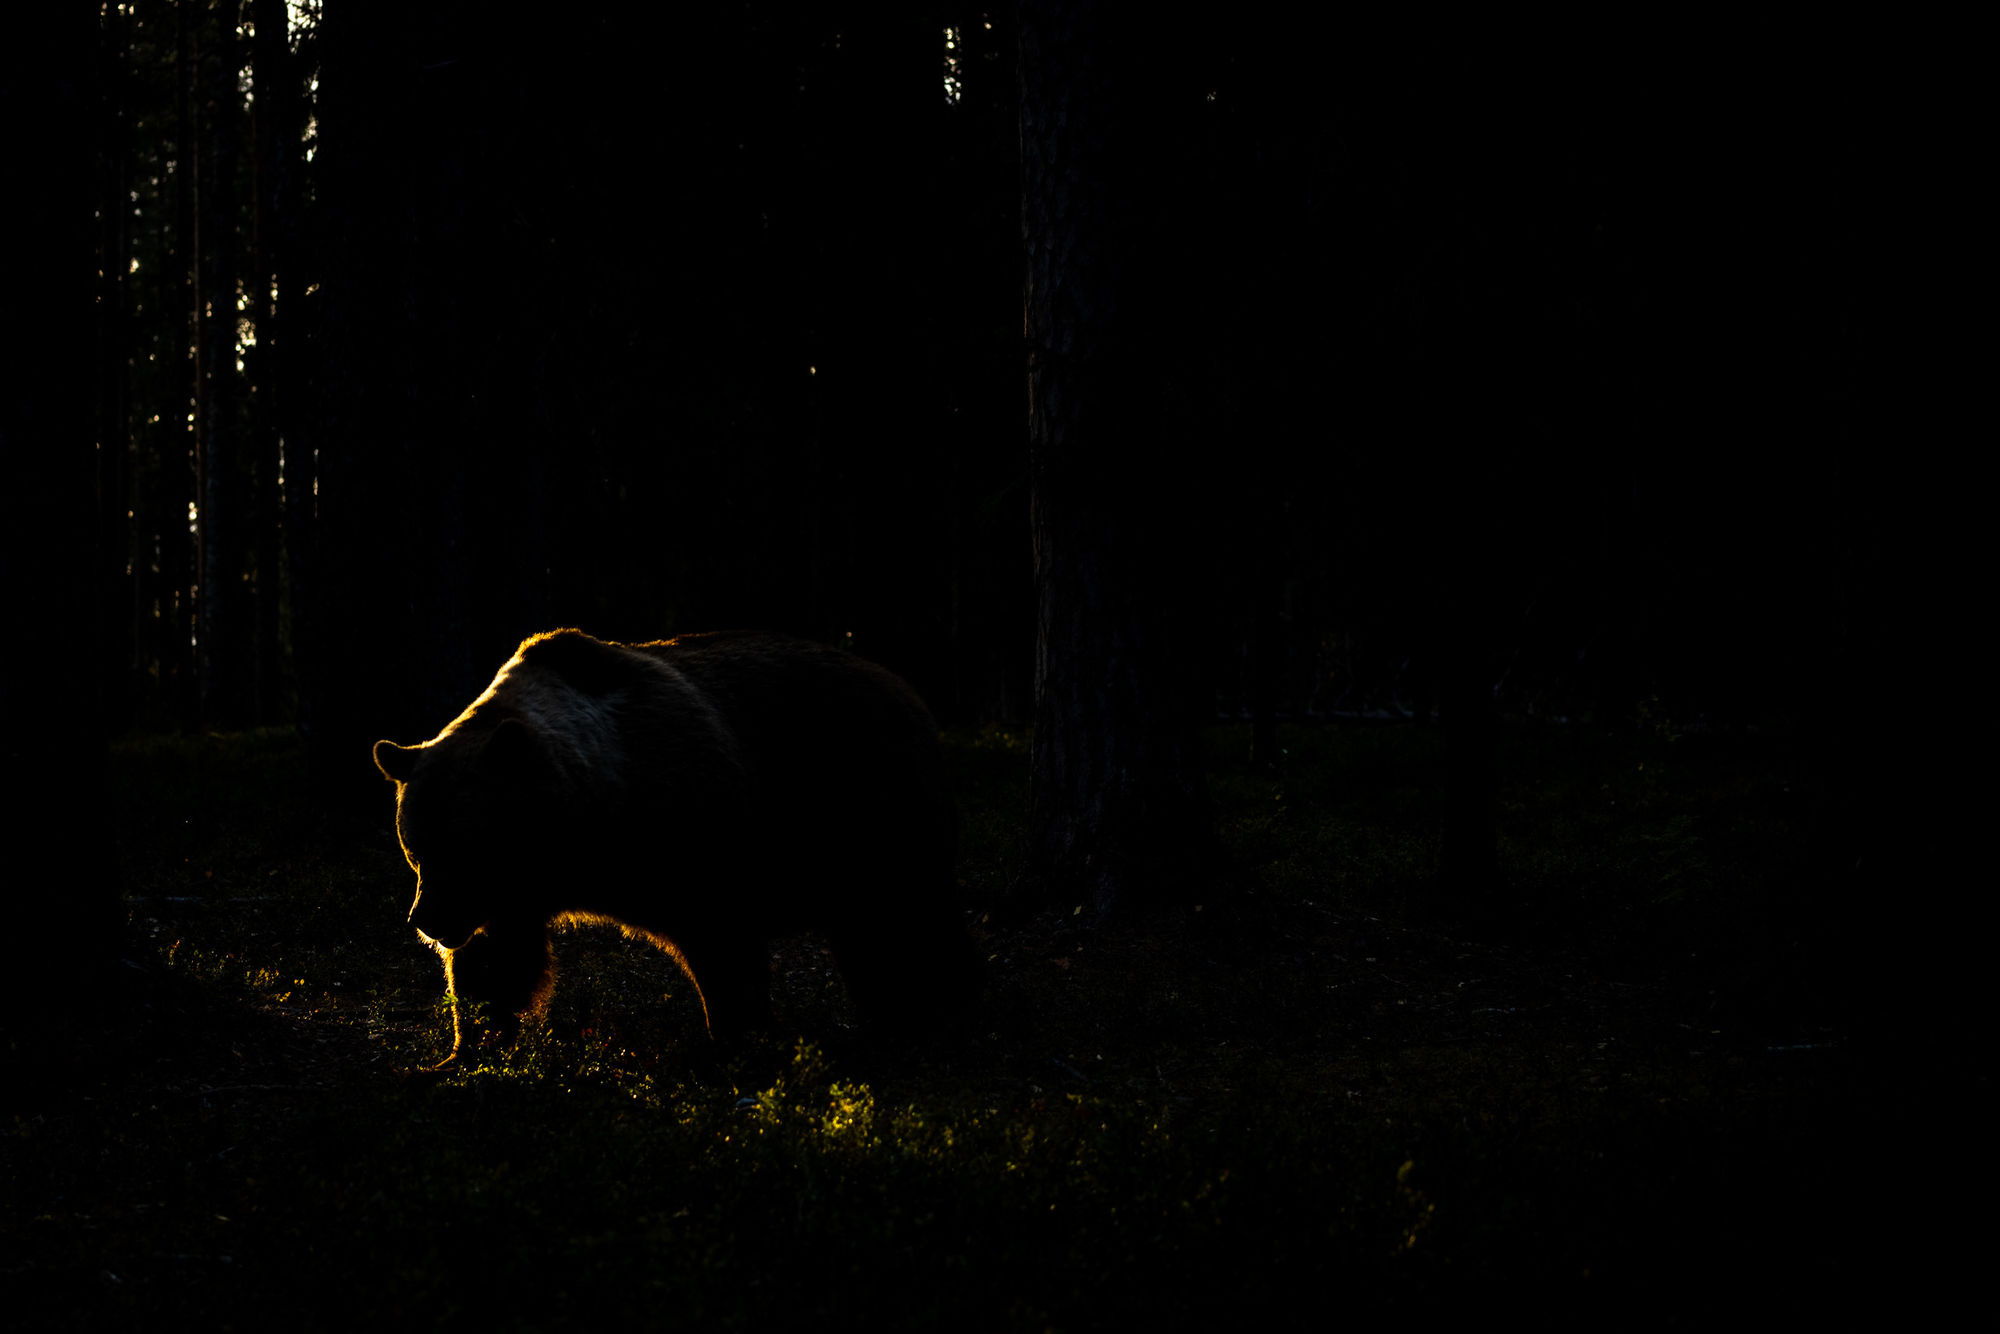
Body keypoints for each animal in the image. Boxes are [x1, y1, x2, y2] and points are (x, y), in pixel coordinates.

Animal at [372, 629, 976, 1063]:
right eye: (414, 848)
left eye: (460, 845)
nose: (427, 920)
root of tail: (901, 685)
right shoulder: (518, 895)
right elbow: (499, 962)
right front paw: (465, 1051)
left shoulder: (695, 834)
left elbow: (724, 945)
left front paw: (740, 1040)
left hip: (872, 808)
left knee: (903, 923)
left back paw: (927, 1019)